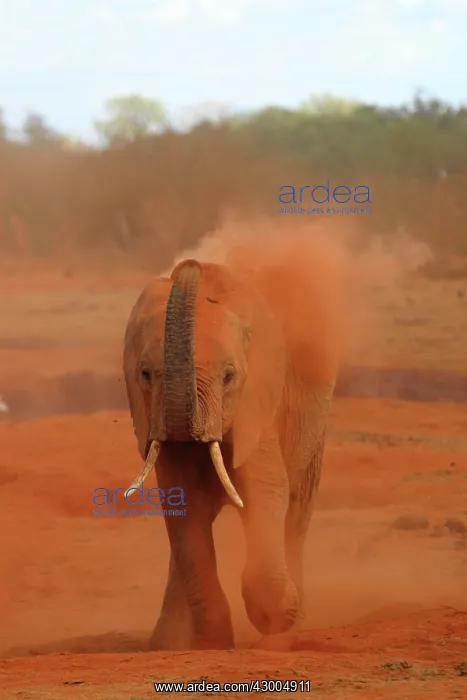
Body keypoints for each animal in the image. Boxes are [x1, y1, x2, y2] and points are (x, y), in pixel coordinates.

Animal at [123, 256, 337, 650]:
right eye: (145, 374)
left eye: (228, 376)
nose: (191, 265)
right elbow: (182, 501)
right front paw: (212, 642)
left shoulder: (258, 402)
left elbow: (265, 487)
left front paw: (277, 619)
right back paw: (167, 643)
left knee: (298, 508)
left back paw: (294, 625)